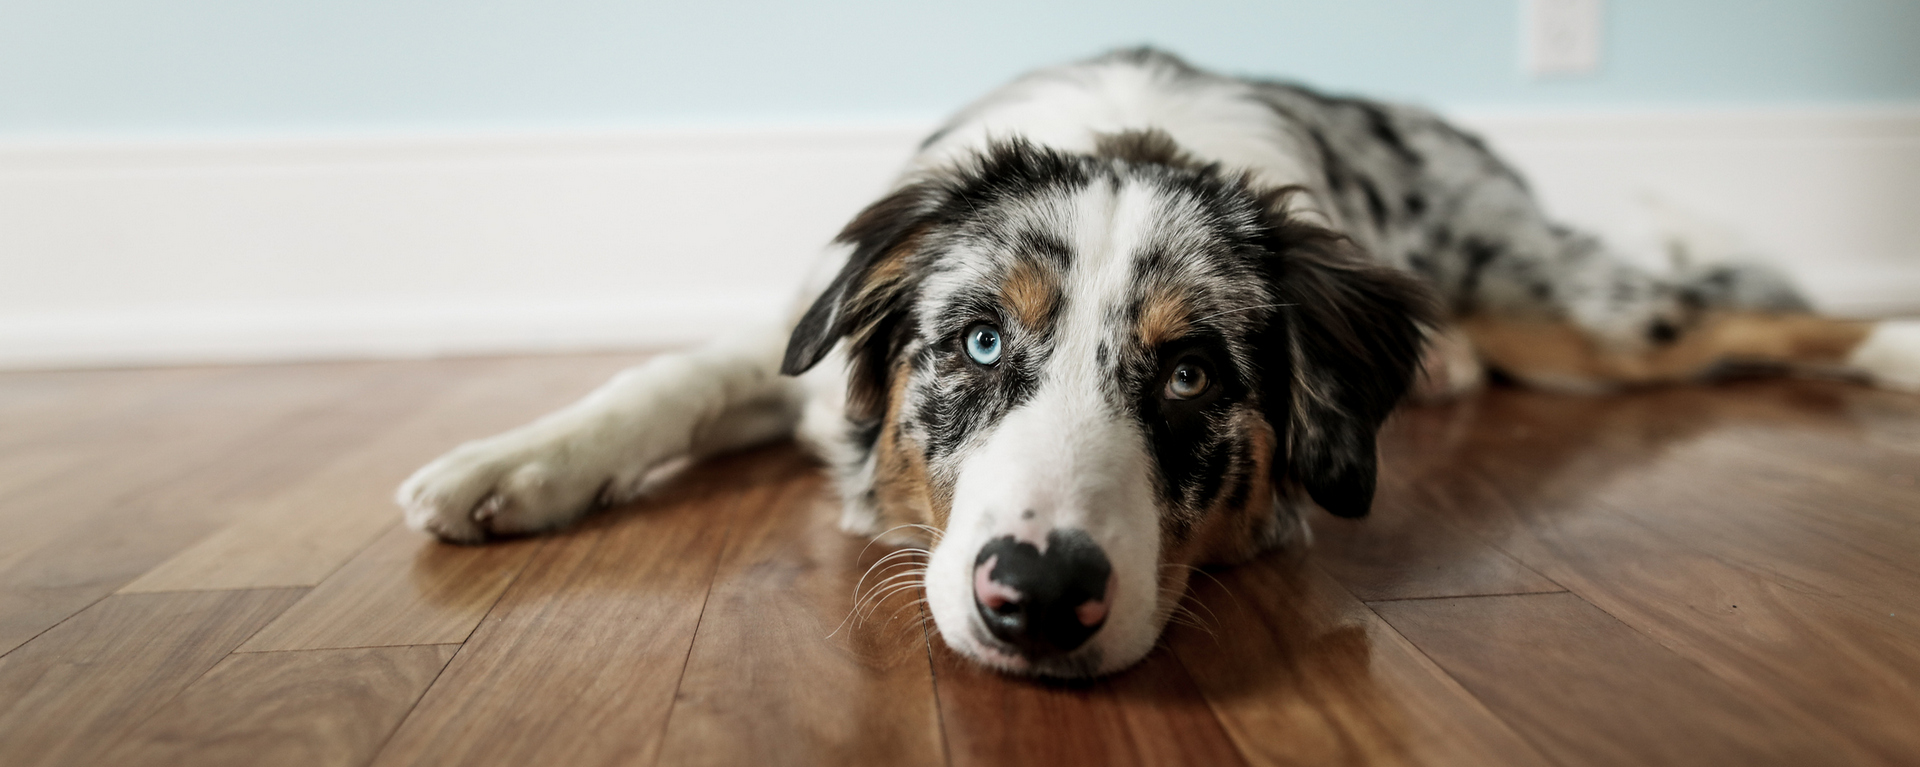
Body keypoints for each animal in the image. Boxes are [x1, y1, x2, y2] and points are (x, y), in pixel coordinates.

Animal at [393, 46, 1920, 680]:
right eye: (979, 341)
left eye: (1190, 377)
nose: (1037, 597)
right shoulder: (804, 344)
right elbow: (661, 376)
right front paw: (504, 466)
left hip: (1581, 312)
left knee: (1746, 316)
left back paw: (1900, 343)